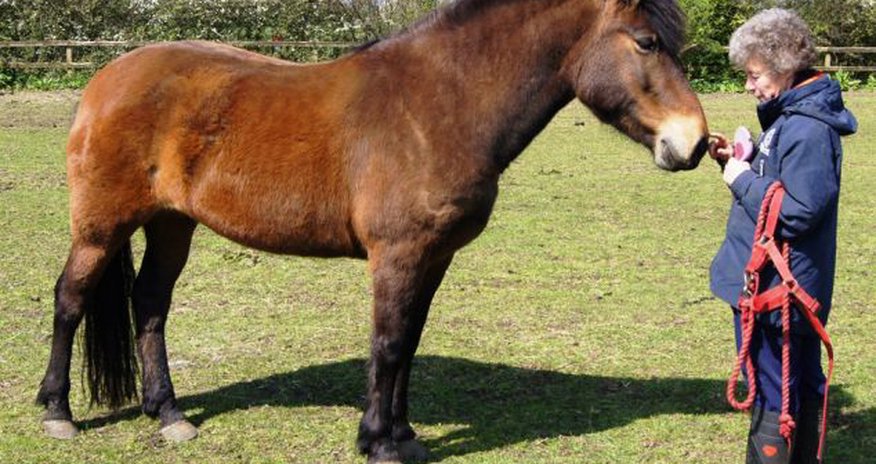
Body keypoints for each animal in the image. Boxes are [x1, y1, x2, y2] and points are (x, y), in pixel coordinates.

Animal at [37, 0, 709, 462]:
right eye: (646, 42)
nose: (695, 142)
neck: (440, 104)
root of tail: (106, 78)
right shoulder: (398, 255)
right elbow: (386, 344)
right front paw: (378, 441)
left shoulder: (433, 257)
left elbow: (408, 342)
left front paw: (404, 434)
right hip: (102, 226)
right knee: (71, 299)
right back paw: (58, 412)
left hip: (172, 223)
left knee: (149, 304)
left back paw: (169, 413)